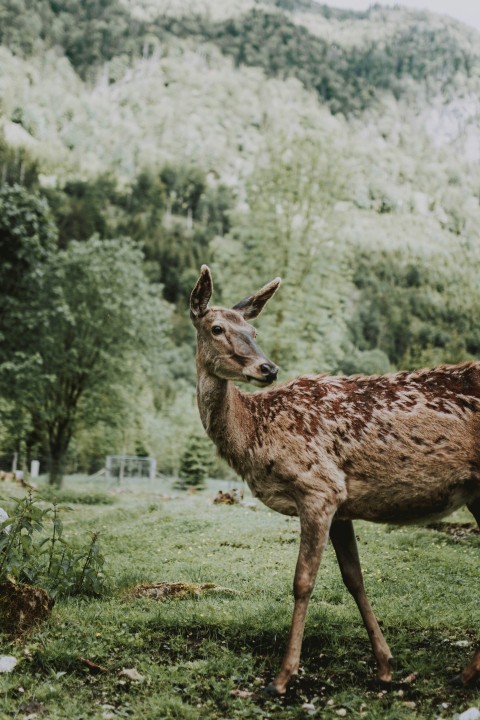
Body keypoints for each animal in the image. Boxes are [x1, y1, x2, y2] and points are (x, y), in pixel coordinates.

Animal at [190, 265, 480, 695]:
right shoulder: (342, 504)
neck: (256, 433)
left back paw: (465, 672)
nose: (268, 368)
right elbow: (354, 578)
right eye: (217, 328)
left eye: (253, 330)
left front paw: (282, 676)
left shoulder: (318, 486)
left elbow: (302, 581)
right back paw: (465, 672)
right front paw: (385, 665)